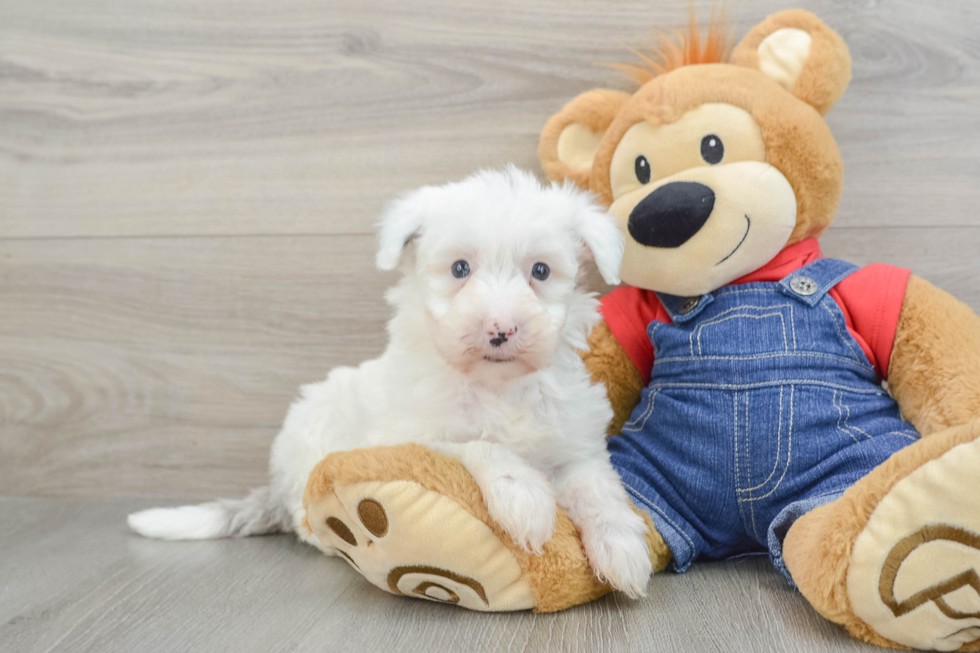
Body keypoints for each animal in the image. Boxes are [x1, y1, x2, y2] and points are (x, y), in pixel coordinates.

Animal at [128, 167, 652, 596]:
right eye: (460, 269)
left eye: (540, 271)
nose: (500, 330)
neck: (496, 387)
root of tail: (276, 483)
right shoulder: (416, 432)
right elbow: (480, 445)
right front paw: (524, 497)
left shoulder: (574, 443)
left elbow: (598, 489)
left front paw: (622, 550)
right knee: (304, 516)